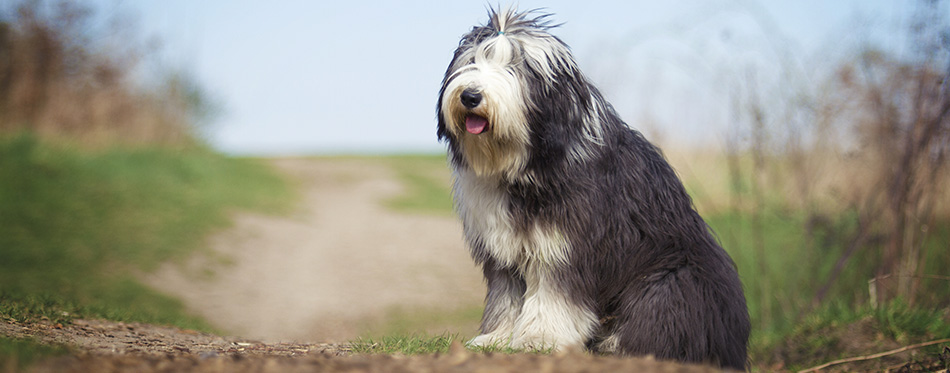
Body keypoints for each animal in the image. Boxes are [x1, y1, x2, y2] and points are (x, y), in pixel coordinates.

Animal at [436, 8, 752, 370]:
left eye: (516, 66)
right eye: (471, 61)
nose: (470, 96)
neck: (527, 165)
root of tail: (735, 344)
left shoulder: (567, 245)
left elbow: (554, 296)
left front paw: (538, 339)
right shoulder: (504, 248)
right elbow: (507, 296)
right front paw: (498, 337)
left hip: (675, 279)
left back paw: (616, 345)